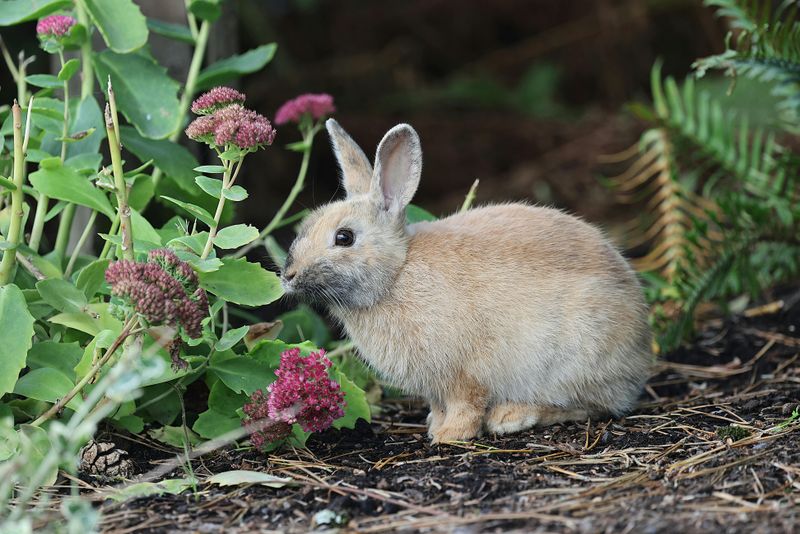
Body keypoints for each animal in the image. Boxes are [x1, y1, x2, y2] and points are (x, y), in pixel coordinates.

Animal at [281, 119, 654, 443]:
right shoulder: (435, 386)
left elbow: (466, 405)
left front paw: (448, 436)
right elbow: (438, 405)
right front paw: (434, 425)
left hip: (574, 358)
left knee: (590, 405)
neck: (396, 274)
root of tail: (640, 352)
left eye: (344, 237)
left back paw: (512, 416)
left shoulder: (464, 374)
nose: (288, 275)